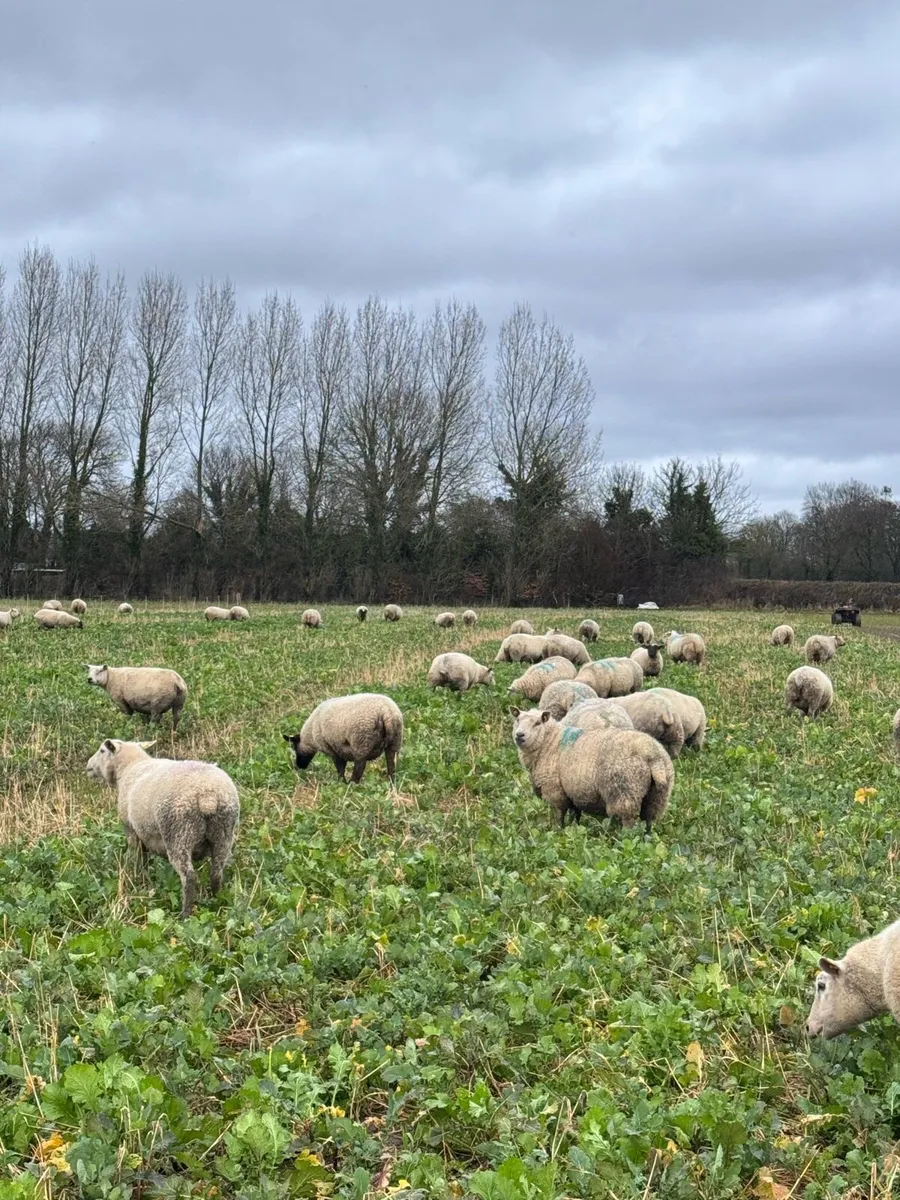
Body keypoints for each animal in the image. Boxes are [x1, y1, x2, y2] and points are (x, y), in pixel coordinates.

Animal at [86, 737, 239, 918]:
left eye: (102, 750)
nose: (88, 766)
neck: (129, 767)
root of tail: (208, 796)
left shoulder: (132, 830)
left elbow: (139, 859)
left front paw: (139, 880)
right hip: (223, 832)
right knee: (217, 871)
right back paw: (217, 900)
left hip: (179, 833)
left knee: (189, 876)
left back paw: (185, 915)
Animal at [510, 707, 674, 830]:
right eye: (517, 720)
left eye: (538, 723)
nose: (519, 735)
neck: (549, 741)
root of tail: (653, 756)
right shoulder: (573, 792)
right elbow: (575, 814)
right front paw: (574, 829)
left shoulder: (555, 790)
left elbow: (559, 815)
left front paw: (558, 831)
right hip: (658, 796)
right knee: (649, 820)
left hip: (624, 792)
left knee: (628, 822)